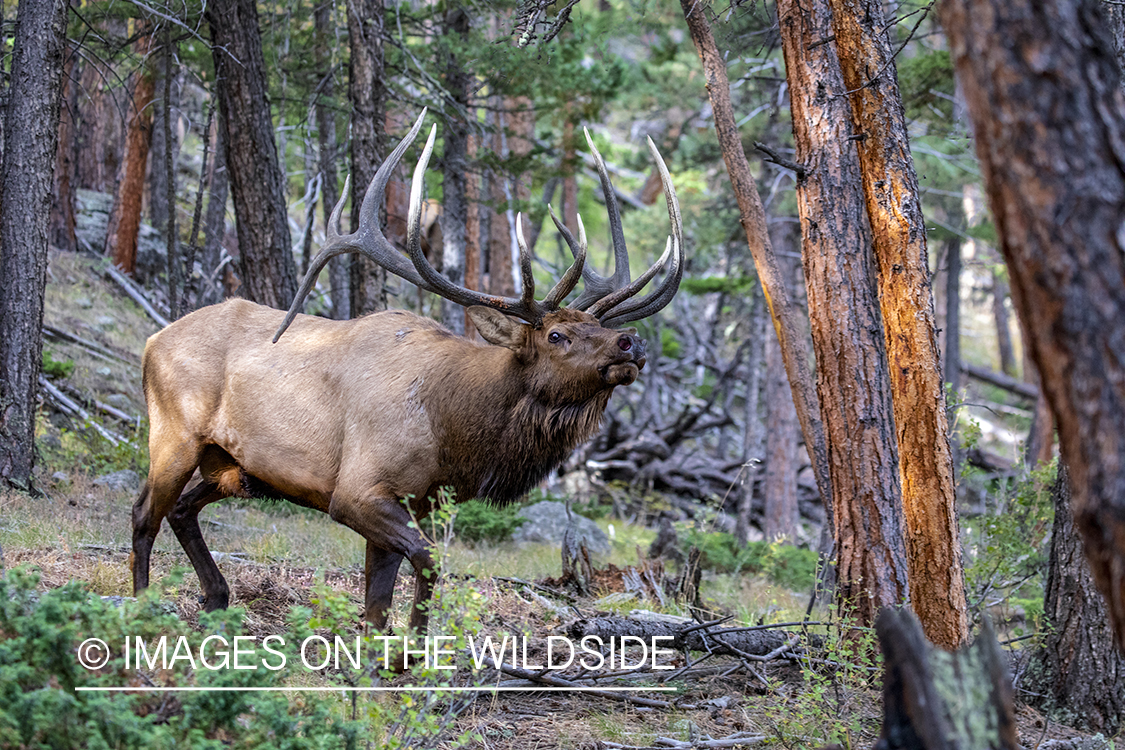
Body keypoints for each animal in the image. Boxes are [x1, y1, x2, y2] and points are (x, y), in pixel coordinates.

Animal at [127, 111, 679, 634]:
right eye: (556, 335)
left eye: (597, 326)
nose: (632, 342)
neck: (454, 430)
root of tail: (152, 340)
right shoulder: (357, 492)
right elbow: (428, 563)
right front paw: (410, 650)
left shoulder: (416, 501)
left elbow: (376, 607)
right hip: (174, 435)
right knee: (143, 513)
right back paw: (142, 606)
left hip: (233, 466)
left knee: (182, 510)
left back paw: (217, 598)